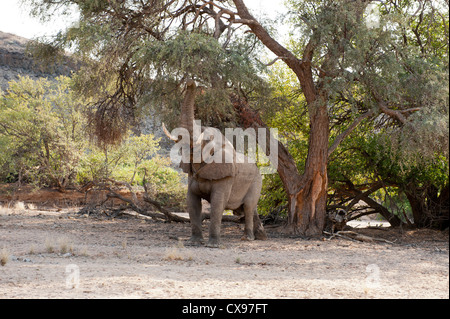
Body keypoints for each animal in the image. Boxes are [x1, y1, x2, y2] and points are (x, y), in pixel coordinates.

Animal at [163, 79, 266, 248]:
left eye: (206, 140)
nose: (191, 82)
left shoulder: (226, 176)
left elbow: (218, 204)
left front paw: (213, 245)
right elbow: (192, 202)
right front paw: (194, 243)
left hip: (257, 181)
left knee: (249, 206)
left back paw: (248, 239)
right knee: (246, 209)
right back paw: (261, 236)